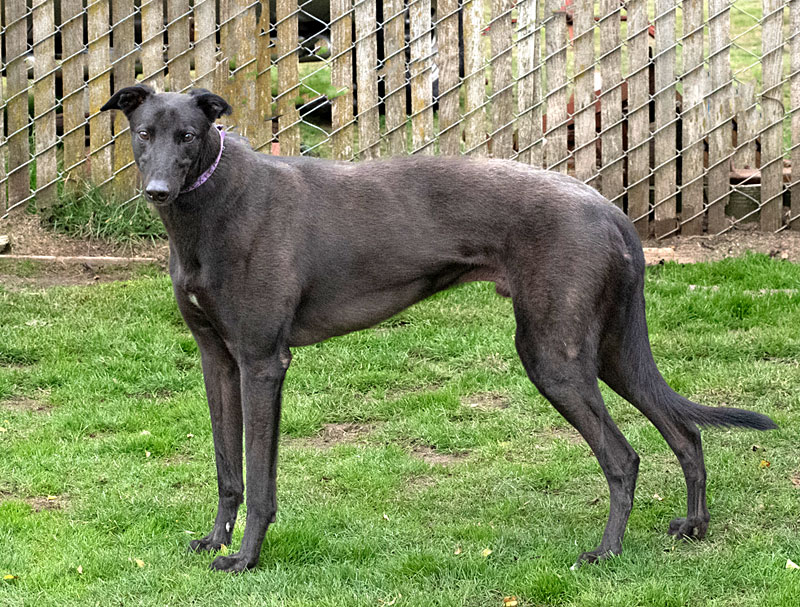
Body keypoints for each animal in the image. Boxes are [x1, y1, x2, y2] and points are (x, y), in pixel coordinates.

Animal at [100, 86, 776, 576]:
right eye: (143, 134)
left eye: (189, 136)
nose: (156, 191)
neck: (210, 203)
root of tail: (610, 209)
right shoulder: (218, 358)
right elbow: (227, 466)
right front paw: (215, 540)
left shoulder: (264, 361)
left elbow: (261, 479)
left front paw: (244, 558)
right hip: (608, 352)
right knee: (685, 431)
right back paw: (694, 527)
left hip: (554, 356)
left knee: (623, 455)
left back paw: (606, 552)